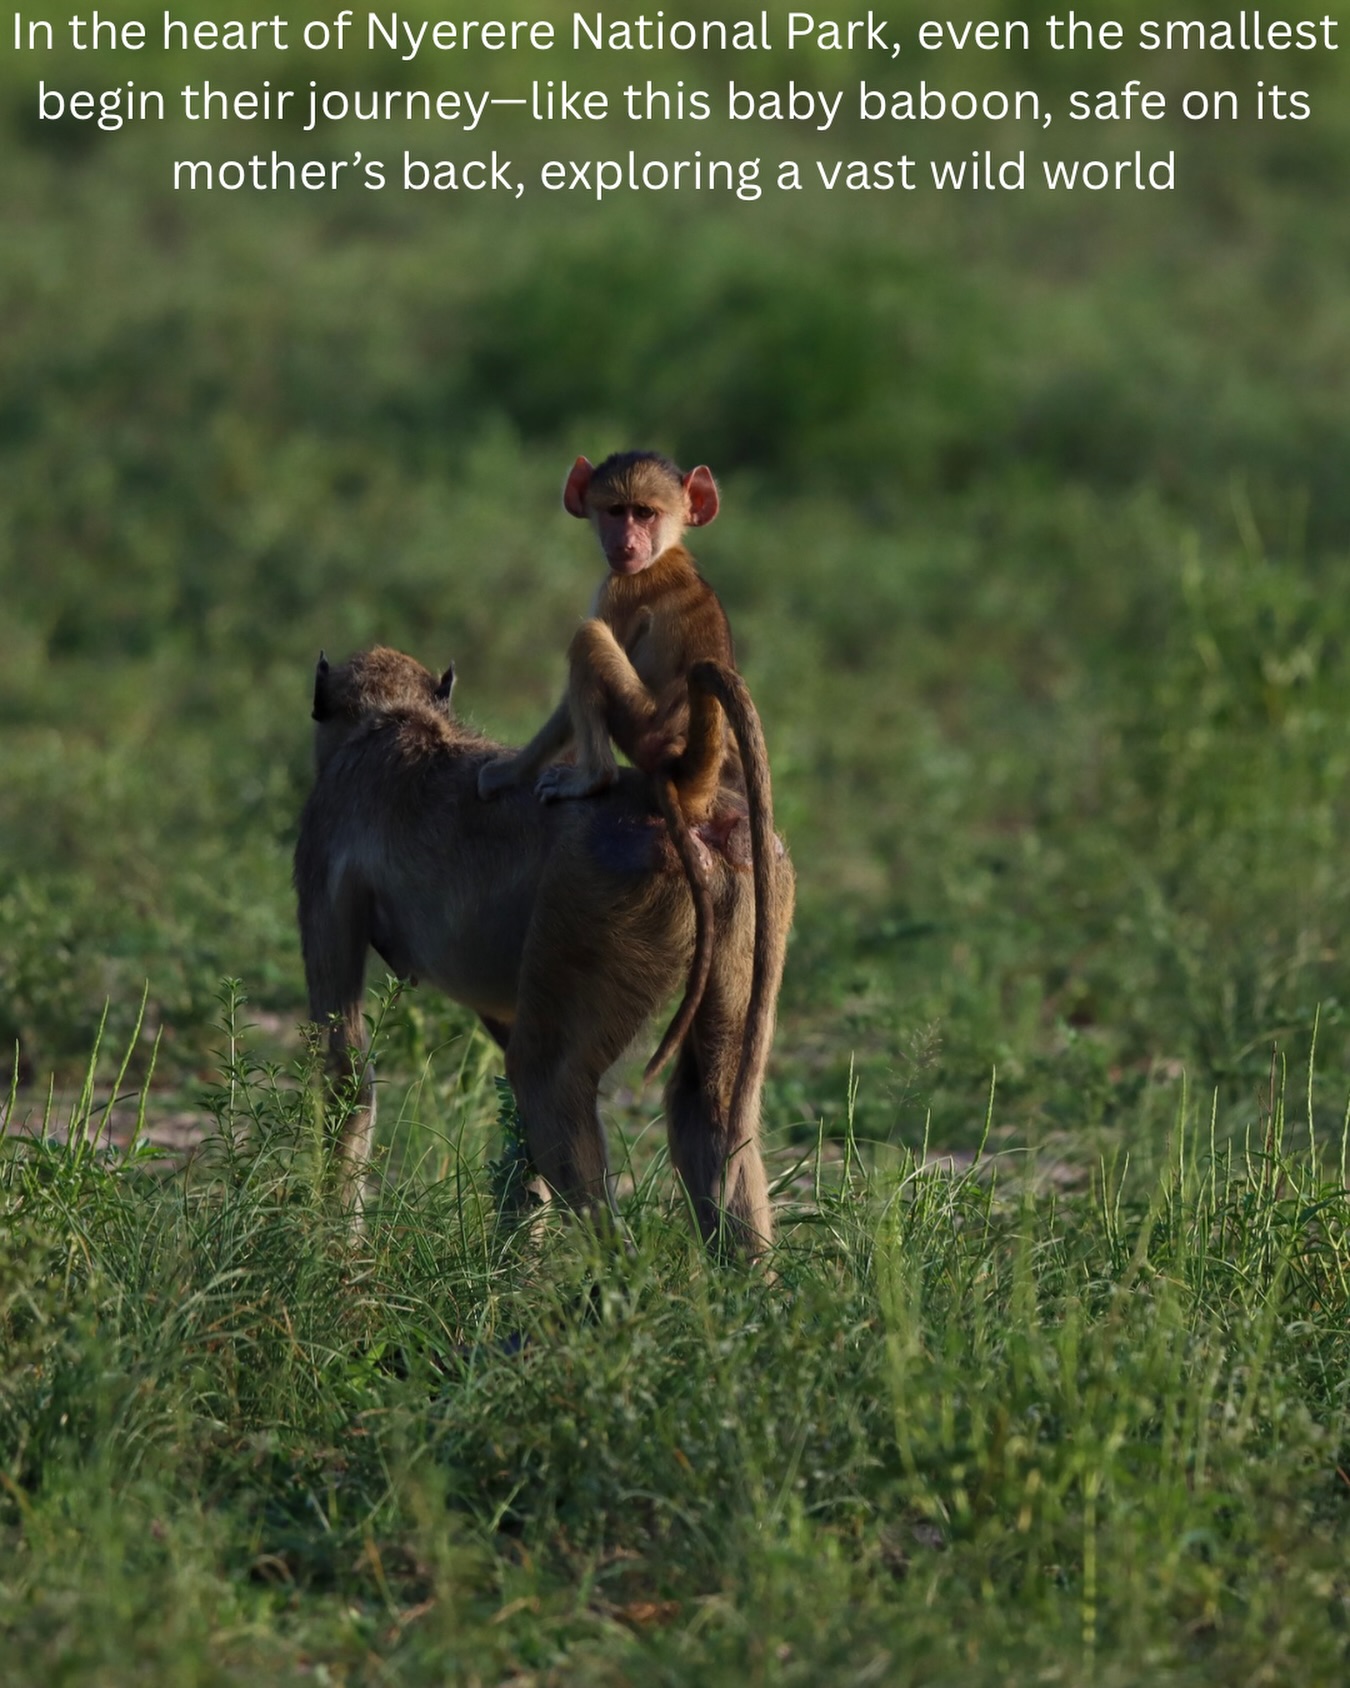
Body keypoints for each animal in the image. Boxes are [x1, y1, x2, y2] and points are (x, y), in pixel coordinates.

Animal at [295, 646, 794, 1259]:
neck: (392, 721)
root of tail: (686, 801)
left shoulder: (324, 836)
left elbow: (345, 1065)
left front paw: (332, 1253)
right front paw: (507, 1264)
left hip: (591, 898)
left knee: (545, 1080)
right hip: (747, 878)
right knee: (712, 1109)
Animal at [477, 451, 779, 1088]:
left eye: (646, 512)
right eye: (616, 511)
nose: (626, 543)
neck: (667, 554)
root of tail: (689, 769)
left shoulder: (619, 588)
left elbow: (583, 667)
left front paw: (508, 774)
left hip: (639, 725)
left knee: (588, 640)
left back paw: (591, 777)